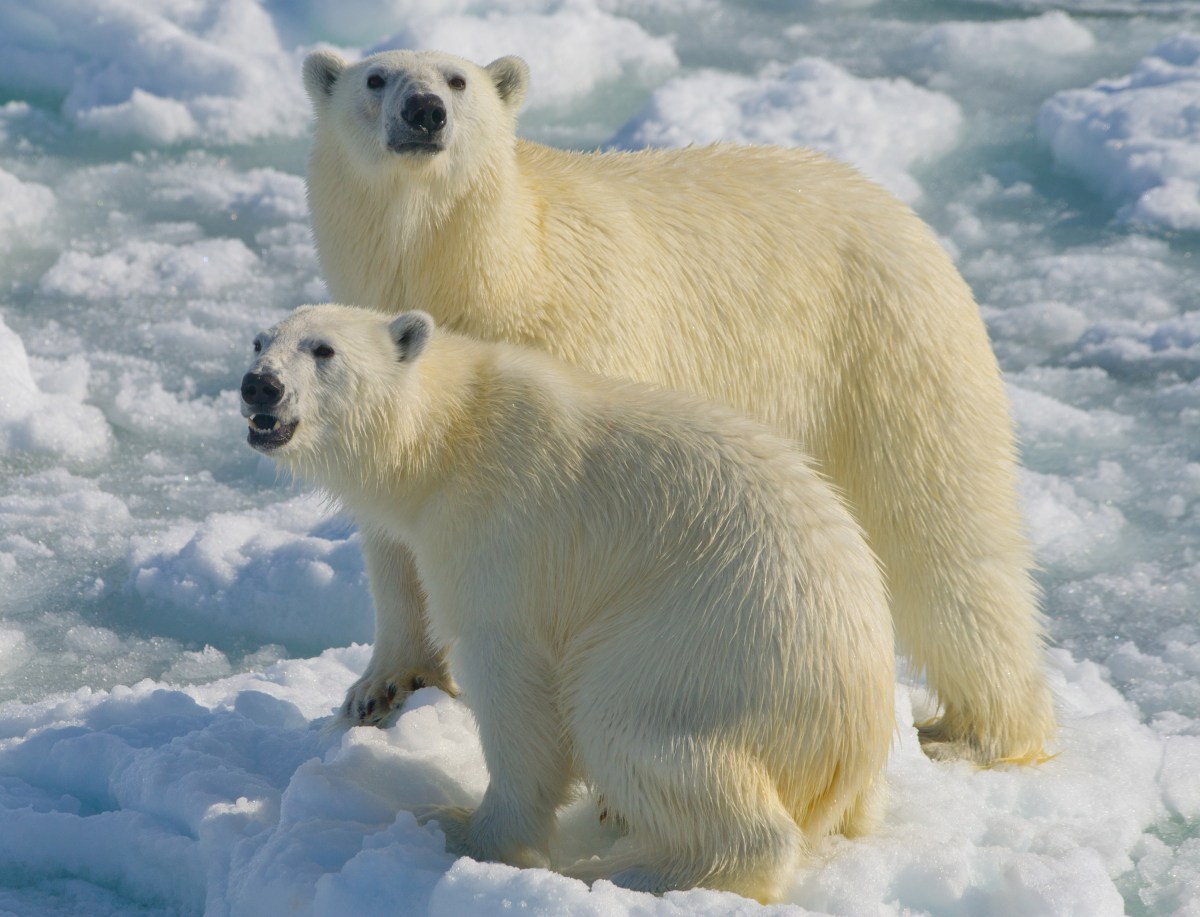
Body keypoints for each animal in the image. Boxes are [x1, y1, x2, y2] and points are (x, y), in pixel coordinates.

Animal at [240, 303, 896, 903]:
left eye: (323, 350)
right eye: (259, 341)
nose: (259, 386)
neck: (451, 431)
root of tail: (854, 741)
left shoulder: (504, 530)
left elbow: (514, 686)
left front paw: (466, 832)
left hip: (706, 654)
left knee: (630, 725)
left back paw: (624, 871)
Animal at [301, 48, 1055, 767]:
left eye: (458, 80)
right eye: (375, 78)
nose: (425, 111)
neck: (491, 268)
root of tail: (900, 211)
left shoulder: (580, 341)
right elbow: (395, 529)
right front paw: (381, 687)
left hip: (886, 354)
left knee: (941, 530)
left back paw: (976, 732)